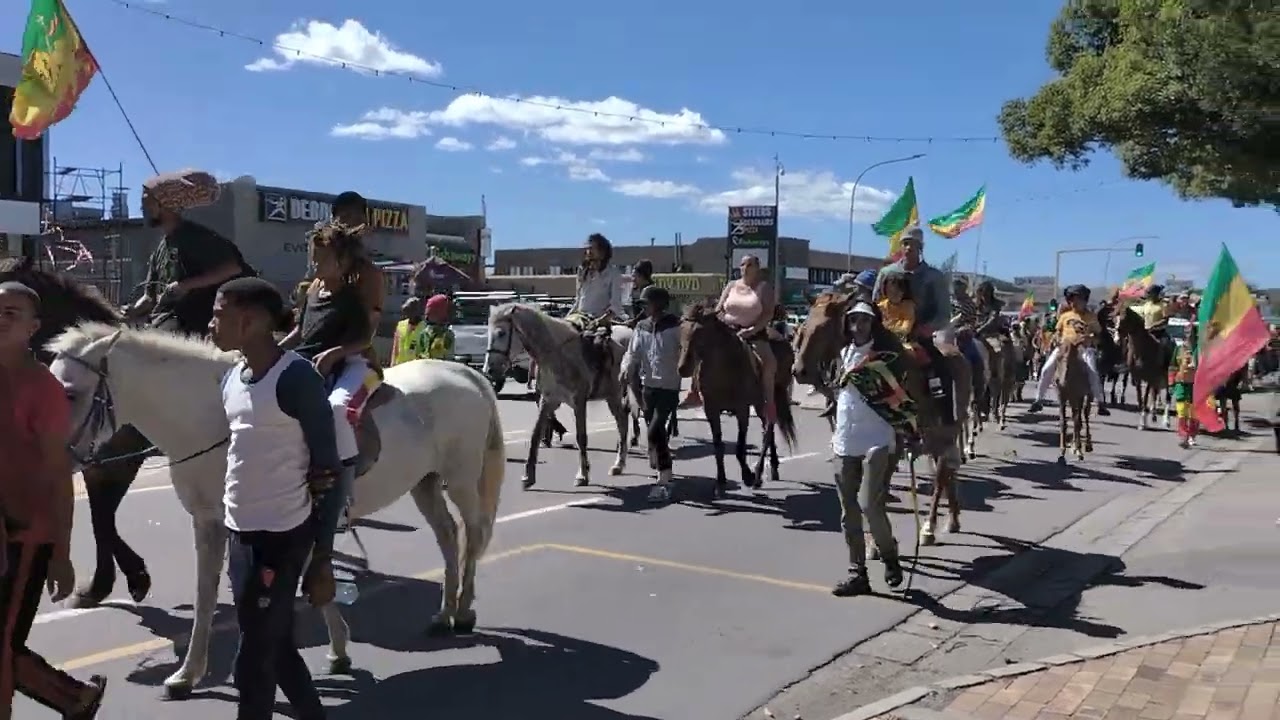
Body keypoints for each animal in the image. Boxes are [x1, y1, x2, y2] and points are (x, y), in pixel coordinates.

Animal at [0, 254, 151, 602]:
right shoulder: (92, 462)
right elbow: (100, 518)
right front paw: (107, 582)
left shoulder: (121, 461)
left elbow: (103, 519)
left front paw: (131, 578)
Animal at [49, 322, 509, 696]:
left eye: (70, 392)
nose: (53, 455)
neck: (219, 417)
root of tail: (461, 372)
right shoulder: (211, 523)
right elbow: (207, 595)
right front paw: (188, 674)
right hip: (424, 483)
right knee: (448, 535)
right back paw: (443, 613)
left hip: (461, 479)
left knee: (472, 534)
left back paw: (463, 611)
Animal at [486, 302, 632, 486]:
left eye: (501, 333)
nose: (489, 370)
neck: (557, 356)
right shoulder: (548, 400)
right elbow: (535, 435)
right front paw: (528, 476)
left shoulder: (579, 402)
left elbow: (581, 437)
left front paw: (582, 474)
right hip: (612, 396)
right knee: (623, 421)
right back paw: (619, 465)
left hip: (618, 395)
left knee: (625, 422)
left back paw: (621, 463)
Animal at [675, 299, 793, 497]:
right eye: (681, 329)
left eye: (699, 332)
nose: (683, 368)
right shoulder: (711, 410)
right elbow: (718, 445)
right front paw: (721, 482)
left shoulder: (742, 410)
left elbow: (739, 447)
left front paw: (748, 476)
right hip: (761, 403)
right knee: (769, 428)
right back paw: (773, 467)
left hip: (769, 397)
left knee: (768, 428)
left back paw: (759, 474)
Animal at [788, 292, 967, 543]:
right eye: (804, 325)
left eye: (823, 326)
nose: (799, 371)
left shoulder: (894, 442)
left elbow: (879, 490)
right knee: (947, 470)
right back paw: (952, 519)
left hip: (947, 429)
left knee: (942, 473)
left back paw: (929, 528)